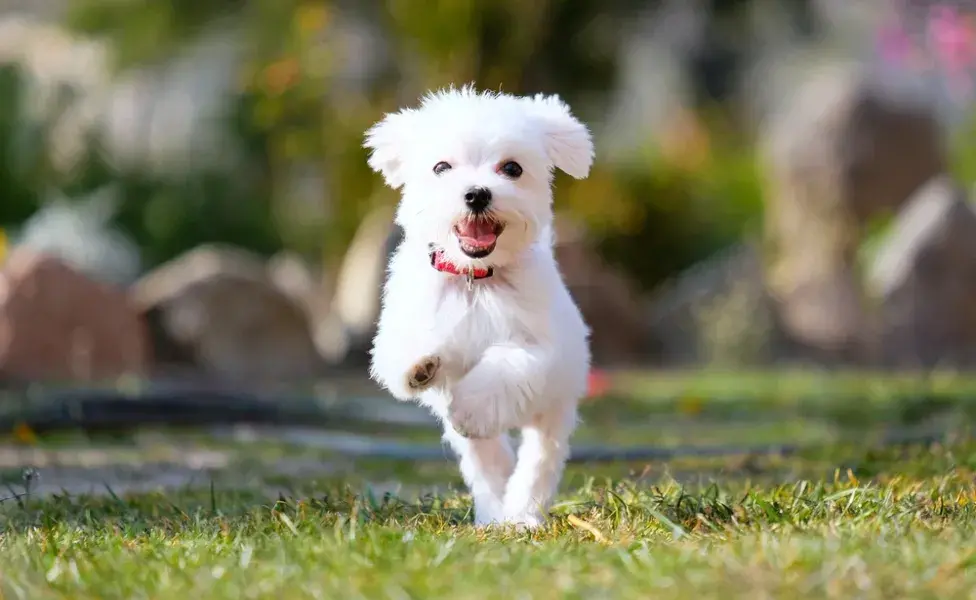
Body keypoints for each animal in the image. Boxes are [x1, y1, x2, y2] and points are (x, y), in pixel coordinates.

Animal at [366, 86, 596, 528]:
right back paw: (493, 513)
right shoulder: (409, 316)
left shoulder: (537, 349)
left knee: (538, 461)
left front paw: (472, 408)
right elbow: (402, 345)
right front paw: (418, 365)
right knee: (488, 464)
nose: (476, 193)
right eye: (441, 167)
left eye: (512, 168)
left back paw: (522, 514)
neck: (475, 277)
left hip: (554, 410)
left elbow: (503, 368)